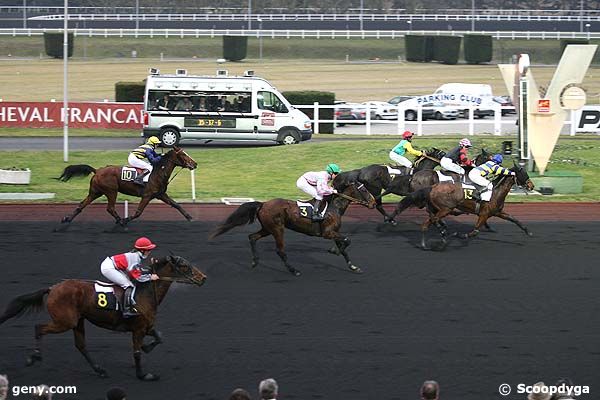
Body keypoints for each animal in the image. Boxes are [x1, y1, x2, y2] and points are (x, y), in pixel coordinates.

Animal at [0, 256, 206, 382]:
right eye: (184, 266)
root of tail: (52, 288)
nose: (203, 278)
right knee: (39, 328)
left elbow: (159, 337)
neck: (144, 293)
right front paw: (143, 374)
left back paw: (99, 370)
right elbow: (137, 352)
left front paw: (147, 347)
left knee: (81, 346)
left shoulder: (146, 326)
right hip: (65, 322)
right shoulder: (138, 329)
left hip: (77, 322)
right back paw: (34, 356)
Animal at [56, 147, 198, 228]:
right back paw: (120, 221)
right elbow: (138, 212)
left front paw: (190, 217)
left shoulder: (160, 194)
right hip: (111, 191)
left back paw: (66, 219)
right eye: (183, 155)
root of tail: (97, 170)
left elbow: (176, 204)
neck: (158, 171)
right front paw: (126, 220)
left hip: (95, 192)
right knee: (110, 208)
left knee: (82, 205)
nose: (195, 164)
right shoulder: (147, 195)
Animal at [210, 184, 376, 276]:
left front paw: (353, 266)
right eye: (365, 190)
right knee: (280, 250)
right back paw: (293, 270)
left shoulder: (334, 232)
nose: (374, 203)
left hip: (267, 228)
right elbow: (347, 240)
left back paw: (255, 262)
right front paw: (336, 252)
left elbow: (344, 248)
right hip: (277, 229)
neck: (334, 207)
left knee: (252, 237)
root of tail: (263, 204)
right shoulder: (327, 233)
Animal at [394, 162, 536, 250]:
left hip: (437, 208)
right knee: (430, 222)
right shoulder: (484, 214)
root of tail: (432, 186)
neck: (495, 191)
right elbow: (475, 231)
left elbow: (514, 219)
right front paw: (460, 235)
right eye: (523, 173)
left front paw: (529, 232)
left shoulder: (497, 212)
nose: (531, 186)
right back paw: (436, 239)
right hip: (445, 209)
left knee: (430, 221)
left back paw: (437, 237)